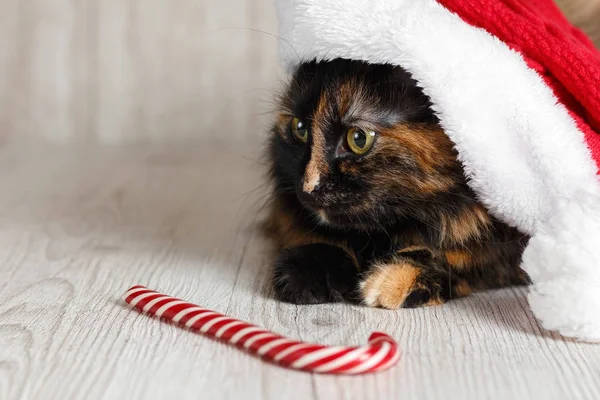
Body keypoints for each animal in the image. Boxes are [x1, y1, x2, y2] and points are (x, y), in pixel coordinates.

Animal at [264, 59, 528, 308]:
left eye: (359, 139)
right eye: (299, 129)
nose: (309, 187)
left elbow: (460, 260)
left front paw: (390, 281)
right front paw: (306, 271)